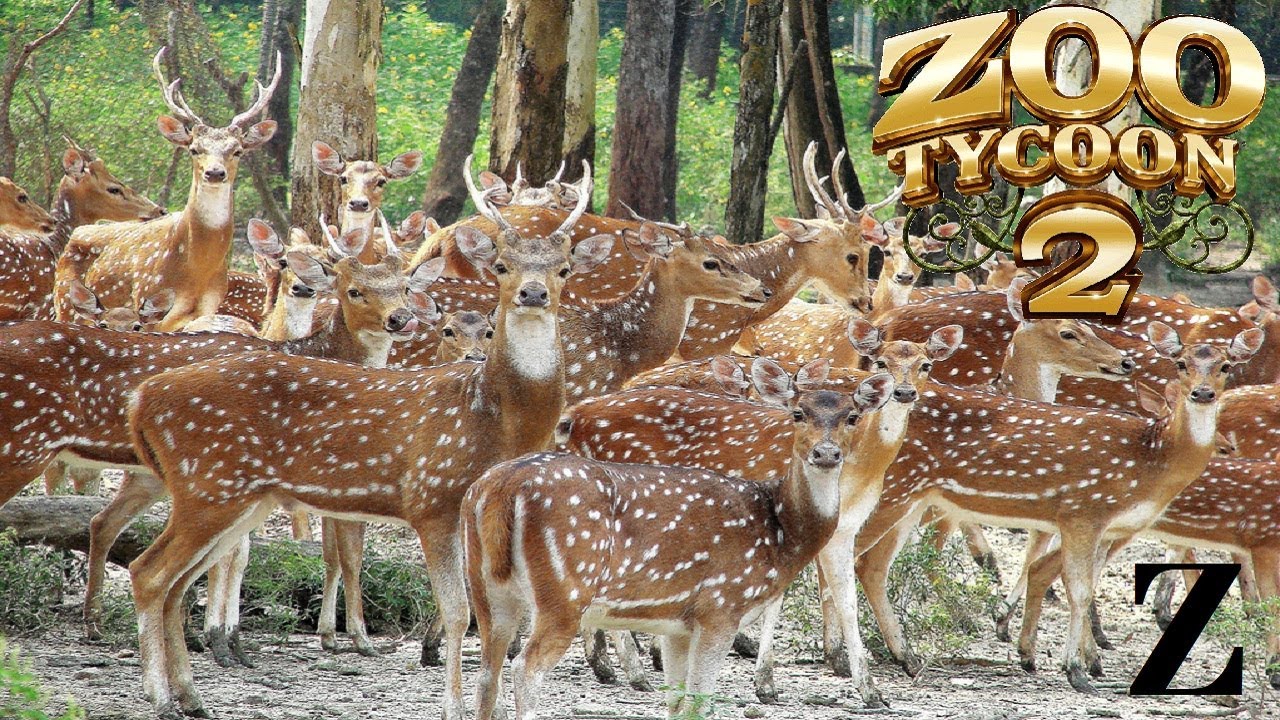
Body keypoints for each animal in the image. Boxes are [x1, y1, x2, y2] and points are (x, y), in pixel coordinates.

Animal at [54, 47, 282, 331]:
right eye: (194, 148)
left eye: (237, 150)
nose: (214, 173)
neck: (196, 269)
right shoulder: (147, 299)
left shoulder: (206, 308)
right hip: (64, 303)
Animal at [466, 362, 894, 720]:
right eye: (798, 413)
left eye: (852, 416)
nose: (826, 452)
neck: (779, 532)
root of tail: (499, 488)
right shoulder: (721, 605)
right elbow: (699, 702)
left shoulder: (677, 626)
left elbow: (675, 702)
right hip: (563, 591)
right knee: (525, 669)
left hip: (487, 589)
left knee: (487, 674)